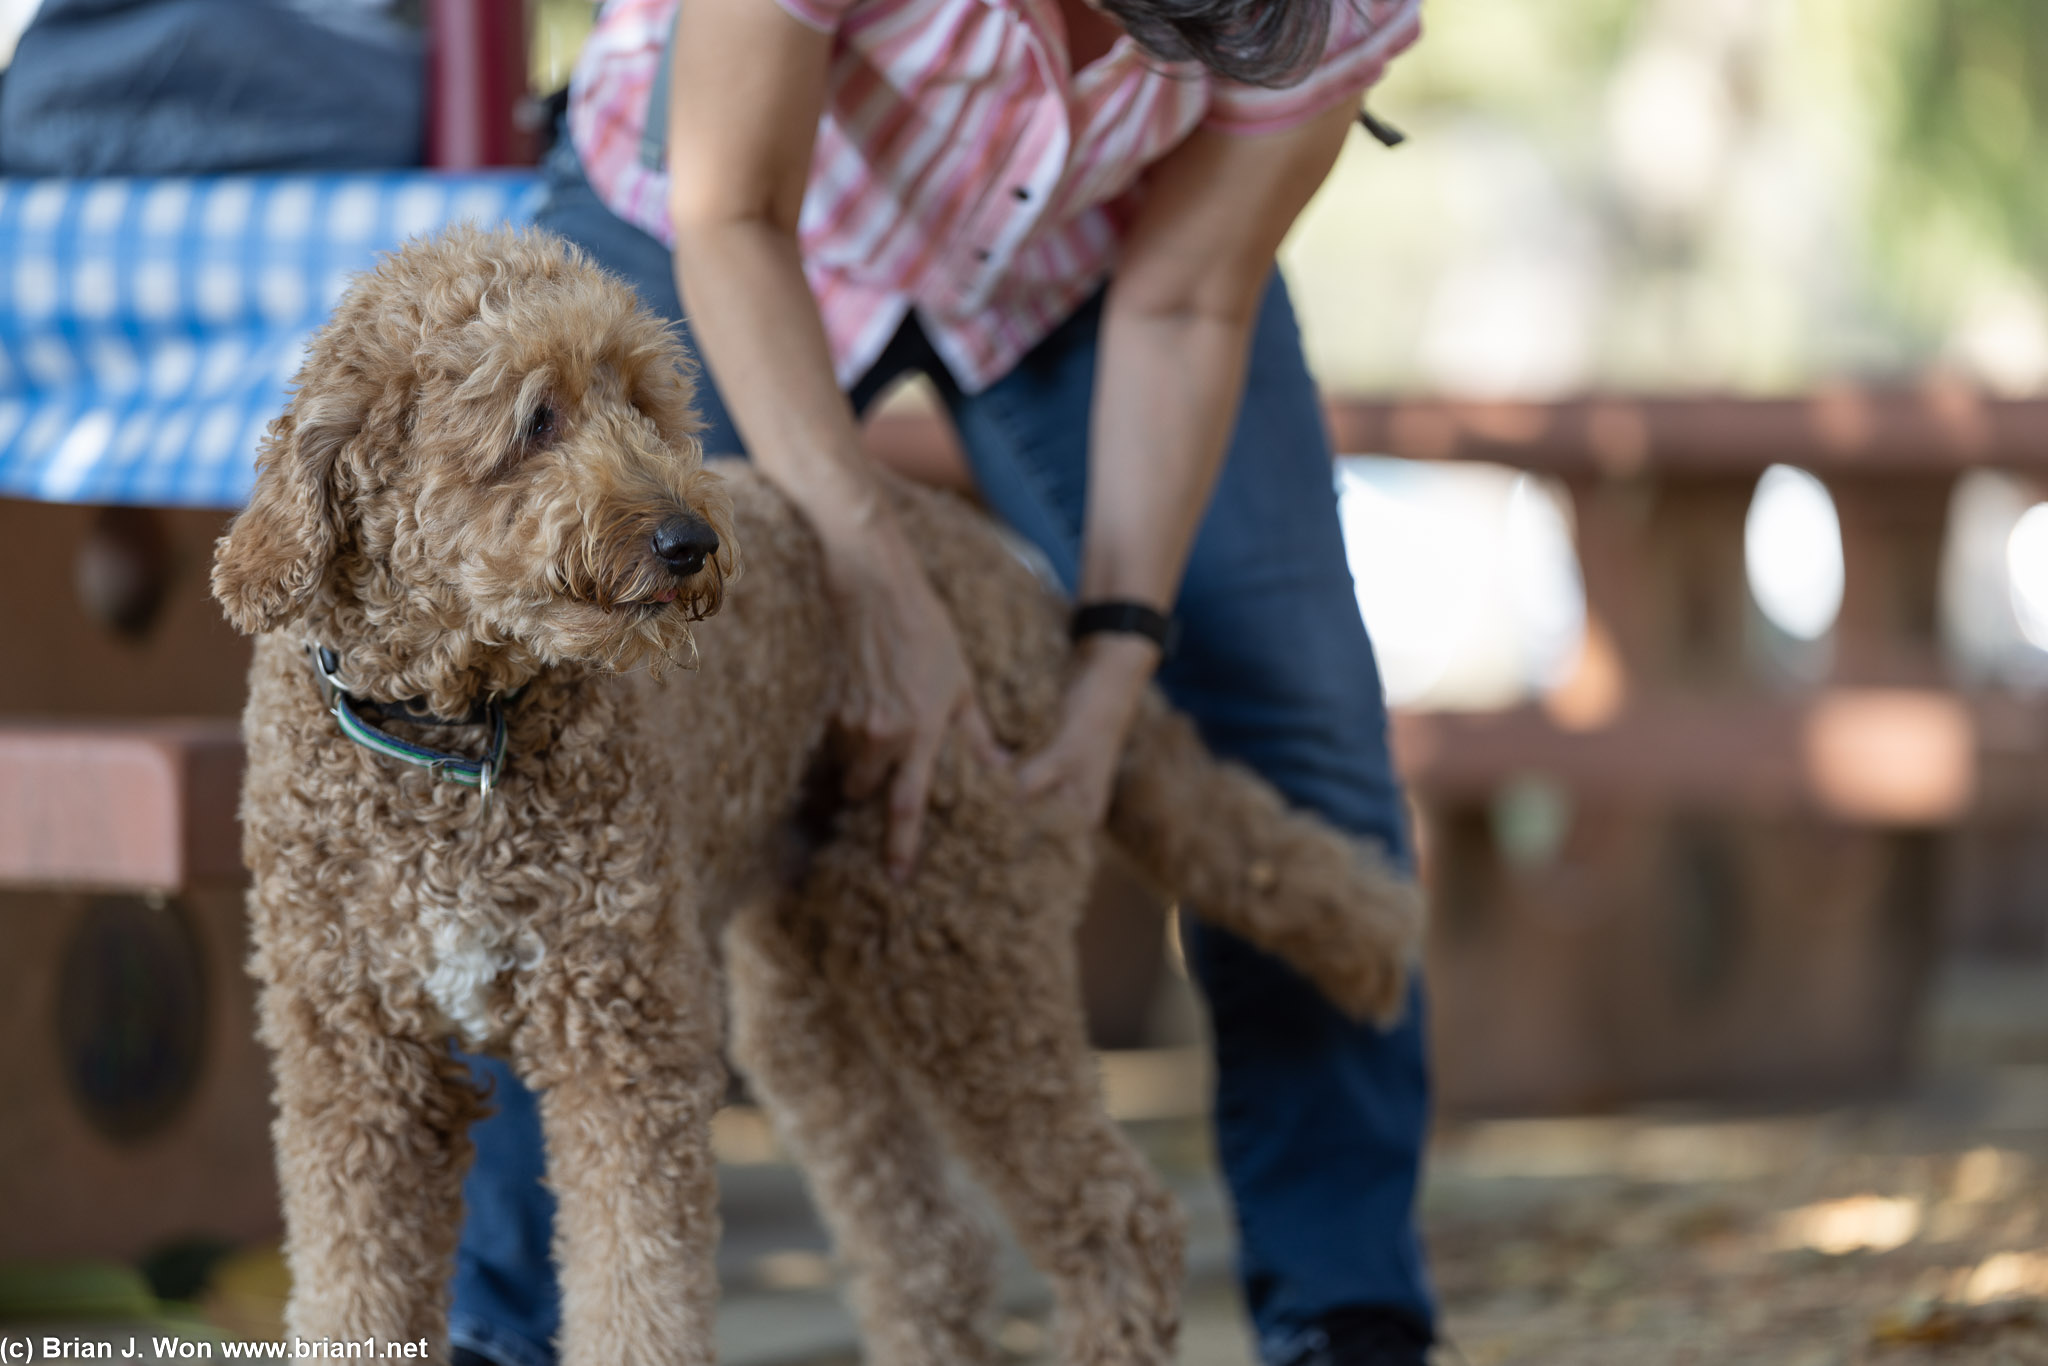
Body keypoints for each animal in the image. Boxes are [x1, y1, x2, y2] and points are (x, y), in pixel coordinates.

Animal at [211, 229, 1425, 1366]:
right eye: (535, 418)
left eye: (645, 402)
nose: (689, 542)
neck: (449, 741)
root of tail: (1013, 580)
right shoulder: (356, 1069)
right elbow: (351, 1292)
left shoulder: (625, 1049)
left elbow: (639, 1294)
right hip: (810, 988)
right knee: (930, 1247)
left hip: (954, 943)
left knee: (1122, 1222)